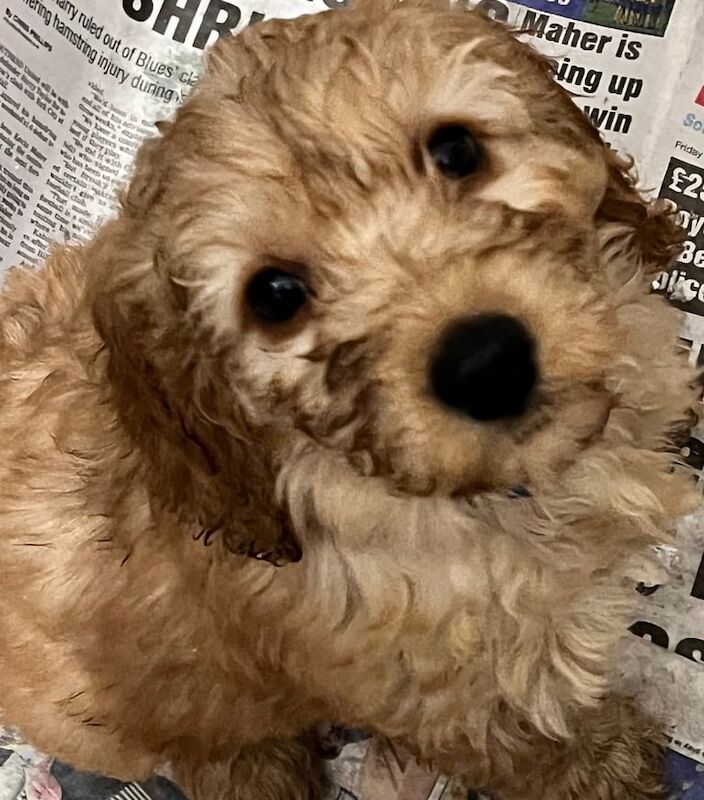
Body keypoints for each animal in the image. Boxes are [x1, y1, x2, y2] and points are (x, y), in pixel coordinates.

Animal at [0, 1, 696, 800]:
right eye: (275, 296)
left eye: (456, 150)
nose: (487, 364)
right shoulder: (460, 701)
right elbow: (541, 747)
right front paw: (614, 766)